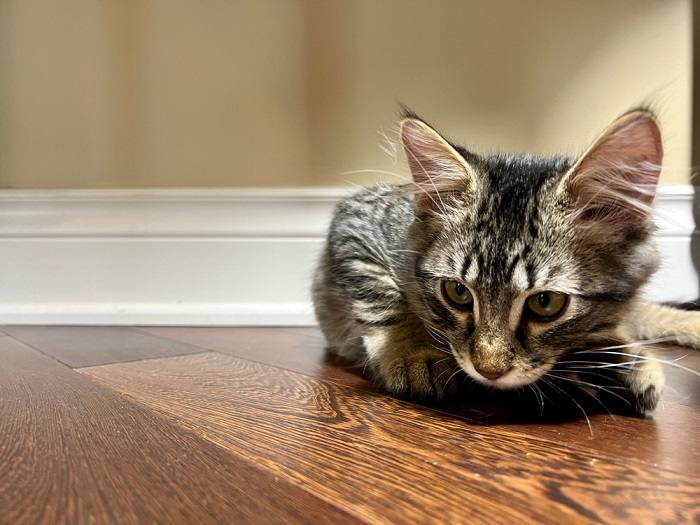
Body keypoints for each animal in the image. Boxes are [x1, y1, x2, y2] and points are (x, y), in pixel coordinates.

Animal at [314, 109, 700, 414]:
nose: (488, 370)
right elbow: (384, 298)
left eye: (546, 302)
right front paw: (413, 353)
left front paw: (624, 361)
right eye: (457, 292)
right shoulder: (355, 225)